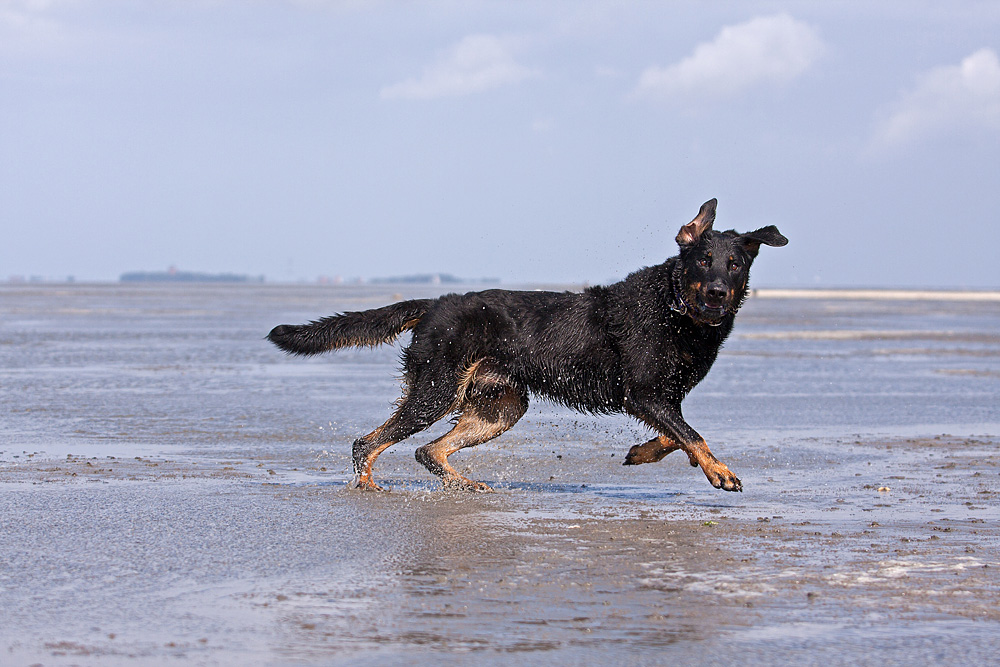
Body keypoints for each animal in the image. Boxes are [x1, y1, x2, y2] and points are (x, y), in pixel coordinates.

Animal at [268, 198, 788, 490]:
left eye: (735, 264)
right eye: (702, 260)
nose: (718, 292)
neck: (676, 308)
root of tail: (436, 302)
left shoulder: (663, 398)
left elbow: (674, 435)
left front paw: (642, 453)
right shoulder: (643, 394)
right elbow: (693, 435)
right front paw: (720, 471)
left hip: (501, 407)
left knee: (426, 451)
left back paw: (464, 486)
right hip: (436, 390)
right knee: (368, 442)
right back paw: (369, 489)